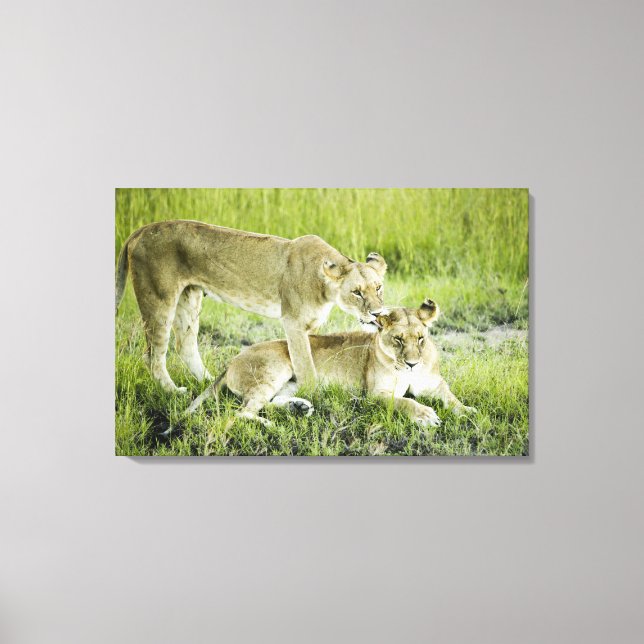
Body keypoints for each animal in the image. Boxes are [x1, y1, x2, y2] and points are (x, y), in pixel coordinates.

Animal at [115, 220, 387, 392]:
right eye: (356, 292)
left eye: (378, 287)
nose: (377, 313)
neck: (325, 287)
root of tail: (140, 231)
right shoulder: (293, 322)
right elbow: (305, 363)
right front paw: (314, 394)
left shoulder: (309, 327)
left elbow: (309, 358)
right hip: (159, 298)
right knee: (153, 354)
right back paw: (173, 391)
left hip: (189, 297)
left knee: (185, 345)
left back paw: (209, 382)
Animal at [186, 299, 476, 427]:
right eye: (398, 340)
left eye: (420, 338)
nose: (413, 364)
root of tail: (231, 361)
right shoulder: (376, 394)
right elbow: (405, 402)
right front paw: (426, 415)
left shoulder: (434, 384)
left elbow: (450, 397)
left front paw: (467, 411)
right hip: (275, 368)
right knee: (243, 411)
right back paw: (269, 424)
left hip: (294, 382)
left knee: (267, 403)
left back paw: (299, 408)